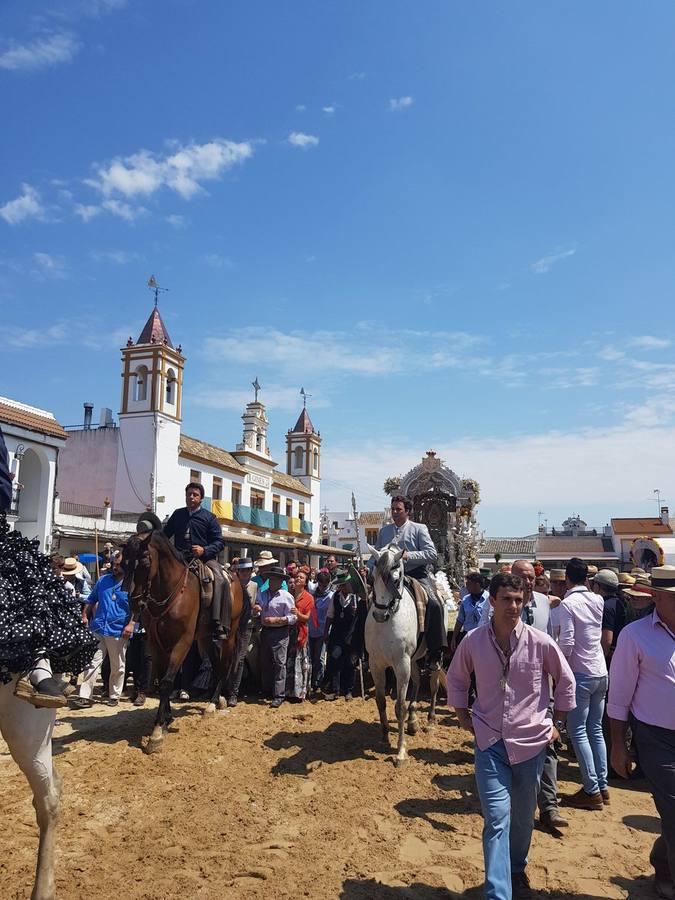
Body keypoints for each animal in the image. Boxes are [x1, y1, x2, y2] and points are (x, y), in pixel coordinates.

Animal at [121, 516, 243, 756]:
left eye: (145, 562)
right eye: (123, 563)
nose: (133, 602)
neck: (170, 591)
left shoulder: (182, 642)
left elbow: (168, 681)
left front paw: (157, 733)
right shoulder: (156, 642)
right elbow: (161, 680)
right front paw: (166, 718)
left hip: (229, 634)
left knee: (225, 663)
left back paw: (213, 703)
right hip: (205, 637)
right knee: (216, 664)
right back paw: (216, 700)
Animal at [368, 540, 446, 768]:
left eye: (395, 579)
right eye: (372, 578)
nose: (379, 614)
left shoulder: (400, 665)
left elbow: (400, 706)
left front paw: (401, 751)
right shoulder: (376, 664)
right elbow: (381, 701)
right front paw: (384, 738)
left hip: (432, 659)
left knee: (433, 685)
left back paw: (430, 720)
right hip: (412, 660)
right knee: (418, 681)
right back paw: (413, 721)